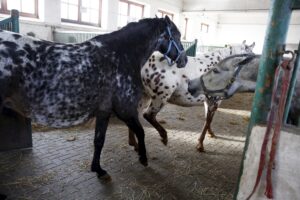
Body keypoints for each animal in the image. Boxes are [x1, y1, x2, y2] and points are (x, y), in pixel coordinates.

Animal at [0, 16, 188, 180]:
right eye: (177, 35)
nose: (184, 60)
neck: (121, 56)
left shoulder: (104, 111)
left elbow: (99, 141)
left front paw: (99, 170)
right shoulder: (125, 110)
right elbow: (140, 132)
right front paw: (143, 158)